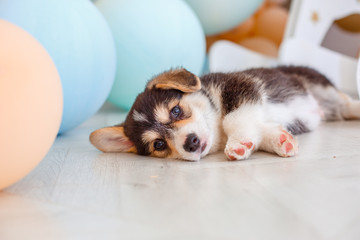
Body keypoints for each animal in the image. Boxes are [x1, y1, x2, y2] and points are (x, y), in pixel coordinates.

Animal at [90, 65, 360, 161]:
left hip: (321, 87)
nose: (191, 142)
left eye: (176, 111)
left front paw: (238, 143)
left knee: (347, 102)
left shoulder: (241, 87)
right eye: (158, 144)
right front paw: (280, 141)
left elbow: (234, 119)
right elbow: (261, 130)